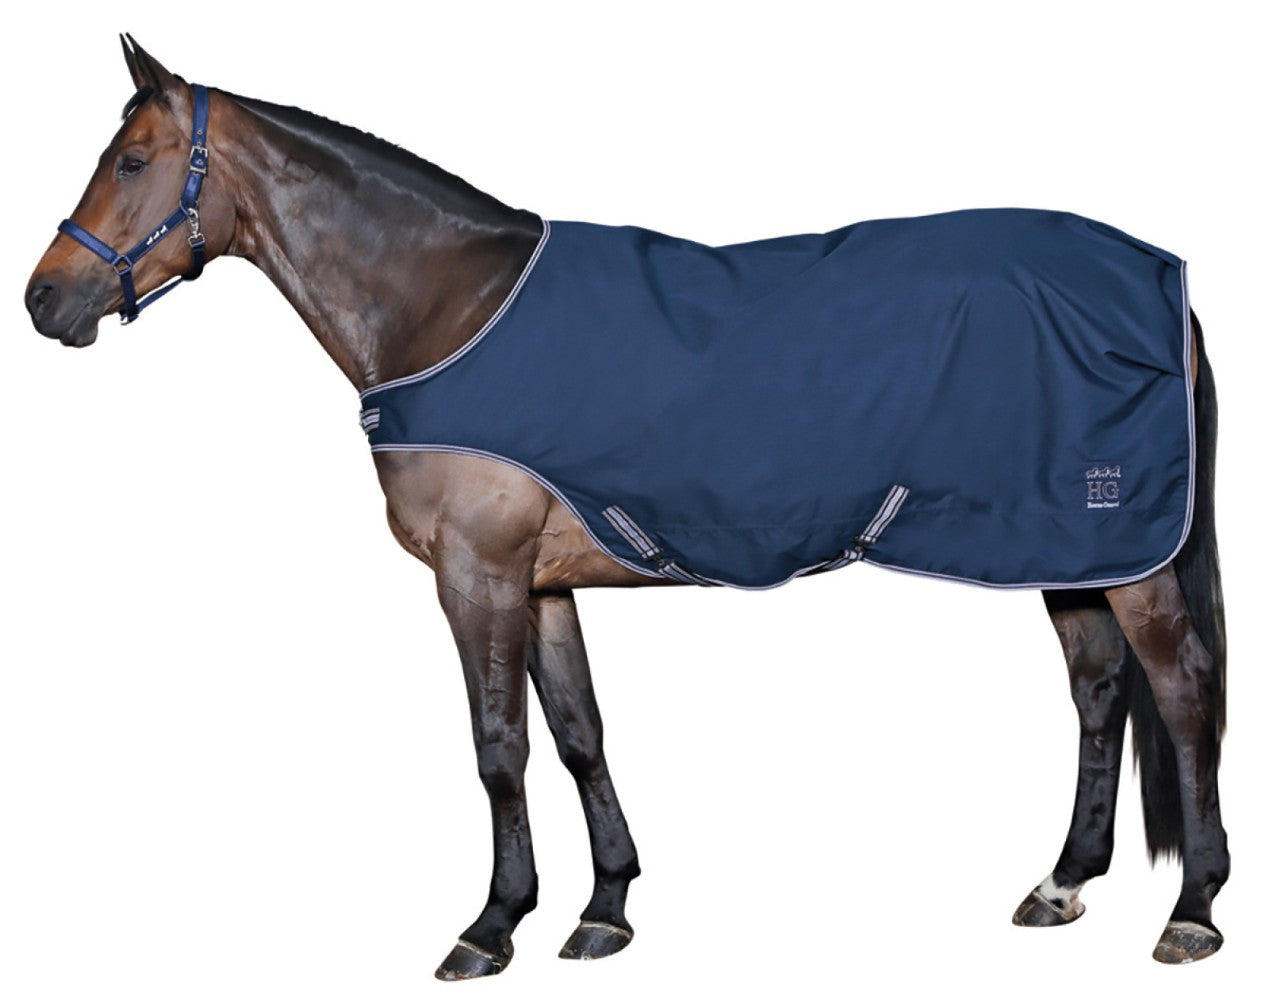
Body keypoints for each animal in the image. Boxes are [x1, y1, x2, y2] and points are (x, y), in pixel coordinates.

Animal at [24, 36, 1228, 978]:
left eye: (130, 161)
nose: (43, 300)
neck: (447, 306)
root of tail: (1160, 279)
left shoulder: (476, 574)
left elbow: (498, 745)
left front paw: (489, 928)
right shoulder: (541, 580)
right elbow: (578, 733)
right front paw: (603, 909)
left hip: (1126, 553)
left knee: (1181, 696)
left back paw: (1193, 911)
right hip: (1063, 545)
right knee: (1098, 693)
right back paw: (1063, 883)